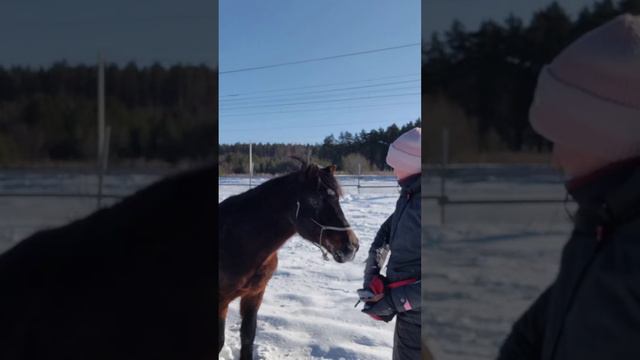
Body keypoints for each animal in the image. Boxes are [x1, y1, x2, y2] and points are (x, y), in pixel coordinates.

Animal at [219, 163, 360, 360]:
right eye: (314, 201)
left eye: (338, 199)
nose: (351, 247)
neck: (235, 241)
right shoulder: (221, 301)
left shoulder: (254, 295)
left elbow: (247, 337)